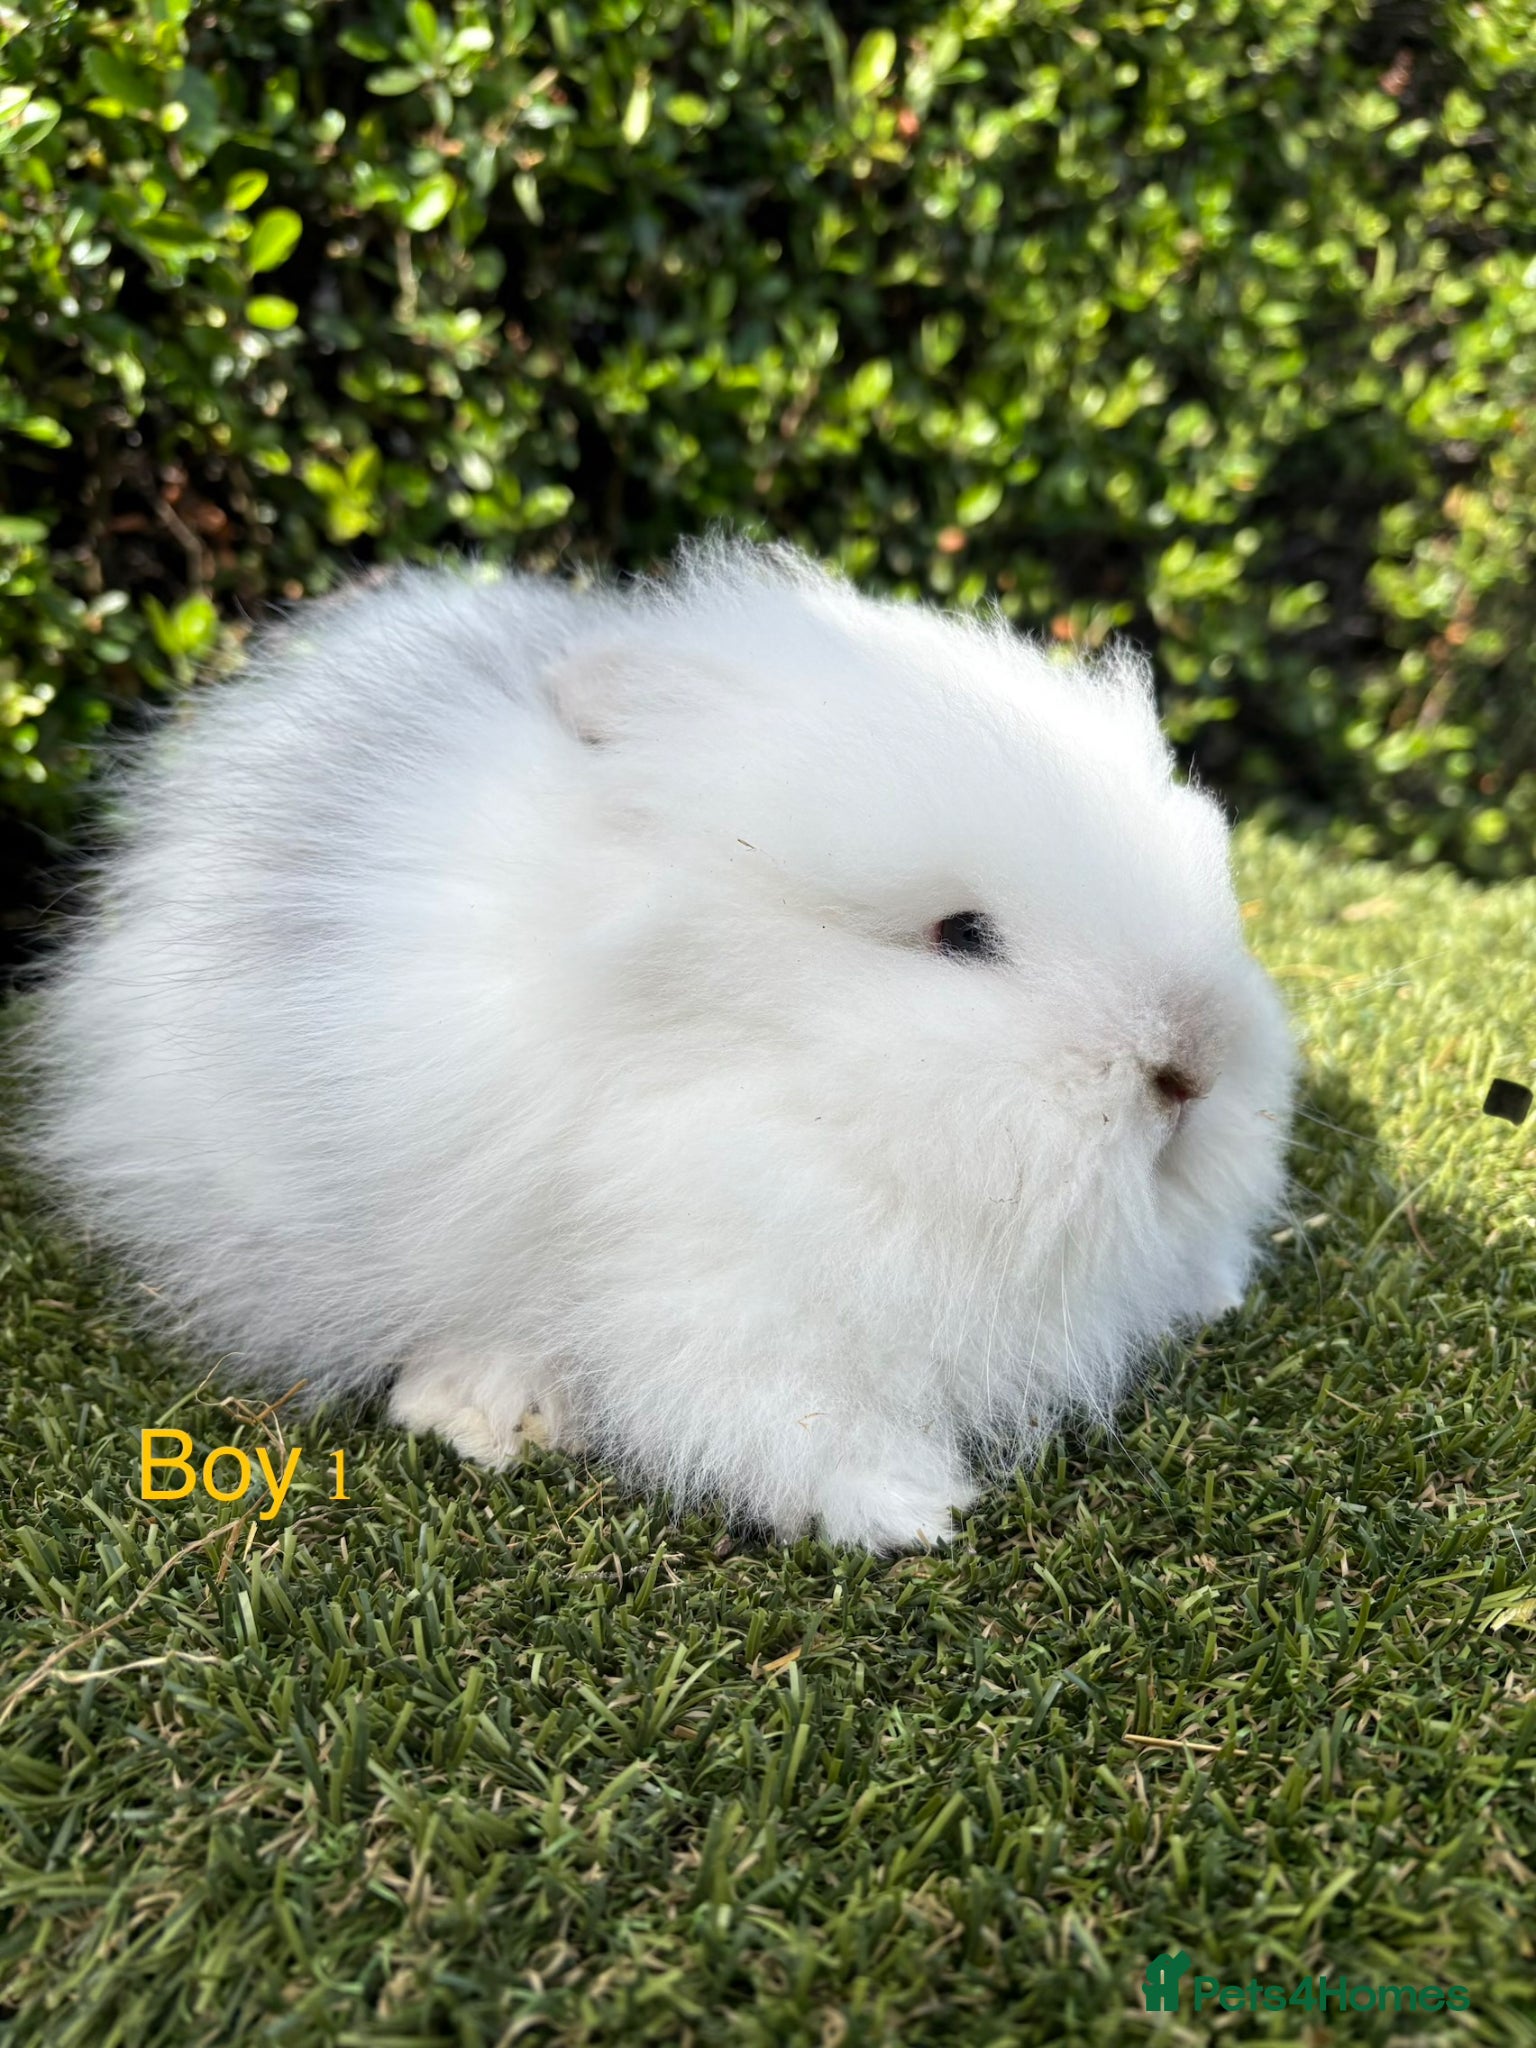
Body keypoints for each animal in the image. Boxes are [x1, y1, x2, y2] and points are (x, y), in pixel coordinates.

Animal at [19, 537, 1296, 1552]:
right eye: (963, 934)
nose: (1190, 1069)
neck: (785, 1064)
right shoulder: (723, 1297)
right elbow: (774, 1411)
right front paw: (910, 1509)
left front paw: (1217, 1290)